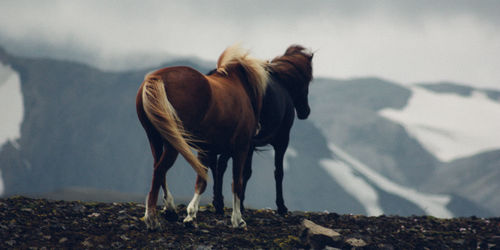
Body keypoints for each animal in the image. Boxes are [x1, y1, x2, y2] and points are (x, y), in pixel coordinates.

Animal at [135, 44, 268, 229]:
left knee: (158, 168)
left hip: (155, 137)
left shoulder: (206, 149)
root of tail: (157, 78)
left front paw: (191, 215)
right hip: (172, 142)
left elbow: (201, 181)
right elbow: (236, 183)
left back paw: (169, 210)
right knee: (160, 169)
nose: (258, 128)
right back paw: (152, 219)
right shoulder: (240, 149)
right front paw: (238, 220)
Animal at [210, 45, 312, 215]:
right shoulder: (282, 141)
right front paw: (281, 206)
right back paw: (218, 202)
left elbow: (246, 172)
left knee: (212, 164)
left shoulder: (250, 145)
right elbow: (278, 172)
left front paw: (241, 204)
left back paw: (217, 201)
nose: (306, 111)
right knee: (220, 164)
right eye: (308, 81)